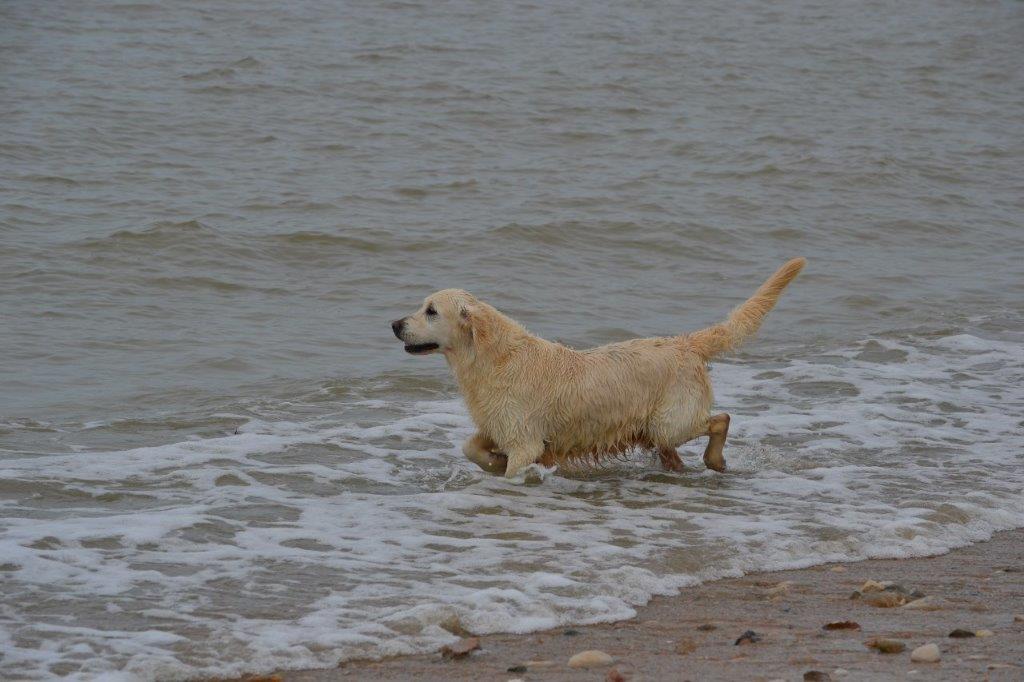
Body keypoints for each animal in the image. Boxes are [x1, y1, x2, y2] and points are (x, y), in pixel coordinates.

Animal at [391, 258, 806, 475]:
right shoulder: (498, 425)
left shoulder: (524, 439)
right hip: (659, 430)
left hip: (669, 420)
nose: (394, 324)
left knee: (720, 419)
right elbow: (469, 446)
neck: (492, 359)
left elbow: (515, 465)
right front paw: (492, 461)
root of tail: (685, 342)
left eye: (431, 311)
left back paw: (714, 459)